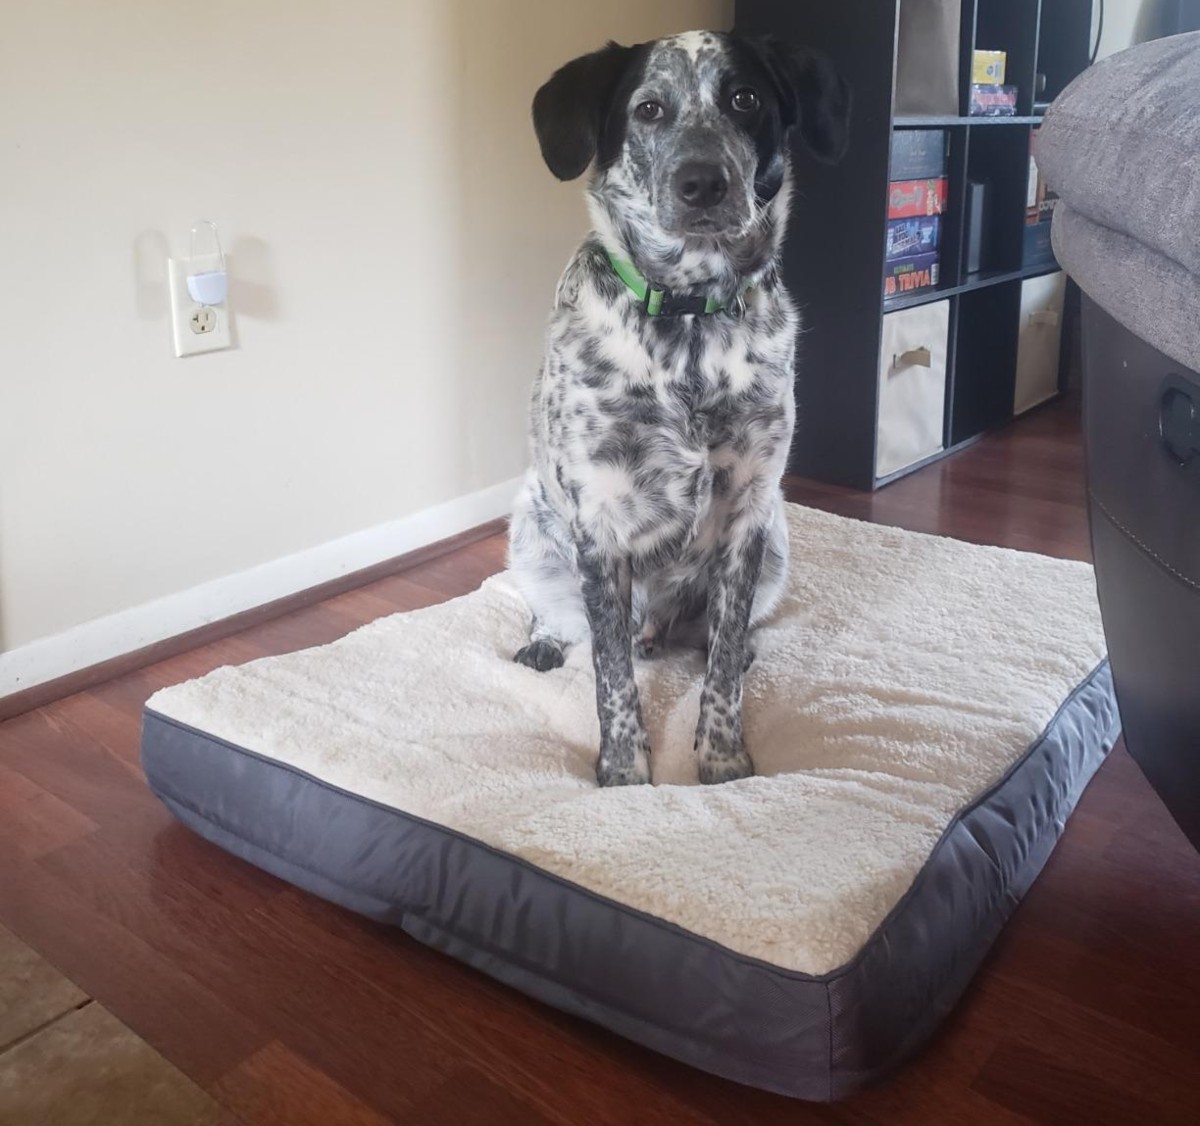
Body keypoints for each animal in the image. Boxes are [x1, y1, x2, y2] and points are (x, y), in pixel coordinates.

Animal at [511, 26, 849, 782]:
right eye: (649, 109)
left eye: (745, 98)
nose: (702, 183)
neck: (690, 317)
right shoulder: (600, 526)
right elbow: (610, 677)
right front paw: (624, 772)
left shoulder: (749, 511)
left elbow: (720, 665)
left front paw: (723, 760)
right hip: (528, 525)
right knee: (568, 622)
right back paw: (546, 641)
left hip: (779, 541)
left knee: (711, 636)